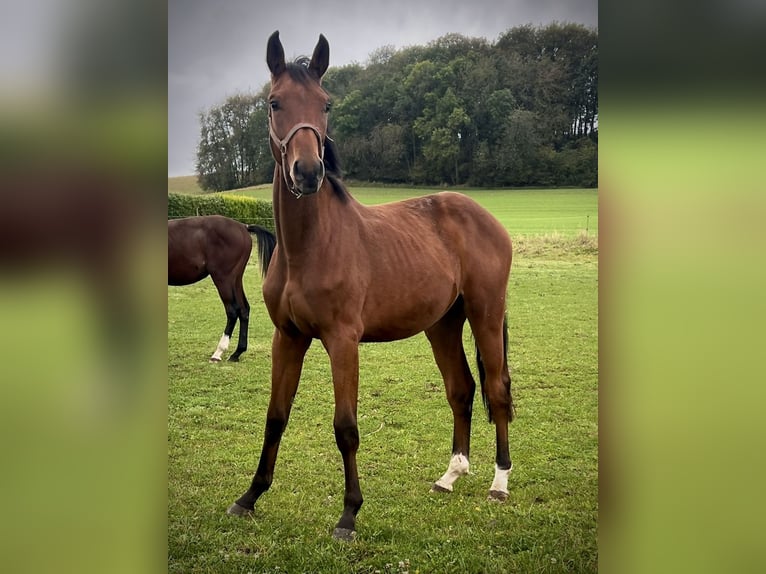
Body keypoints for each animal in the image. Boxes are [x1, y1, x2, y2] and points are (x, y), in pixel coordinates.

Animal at [168, 216, 276, 364]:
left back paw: (218, 353)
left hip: (223, 279)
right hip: (235, 280)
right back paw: (236, 353)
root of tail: (244, 227)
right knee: (244, 309)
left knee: (232, 311)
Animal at [228, 32, 516, 544]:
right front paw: (250, 496)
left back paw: (499, 482)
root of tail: (483, 216)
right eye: (274, 102)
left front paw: (349, 515)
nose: (308, 172)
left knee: (496, 389)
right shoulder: (289, 337)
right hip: (443, 324)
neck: (311, 246)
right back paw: (451, 474)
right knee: (461, 389)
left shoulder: (343, 341)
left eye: (326, 104)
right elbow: (275, 416)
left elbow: (346, 427)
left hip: (484, 314)